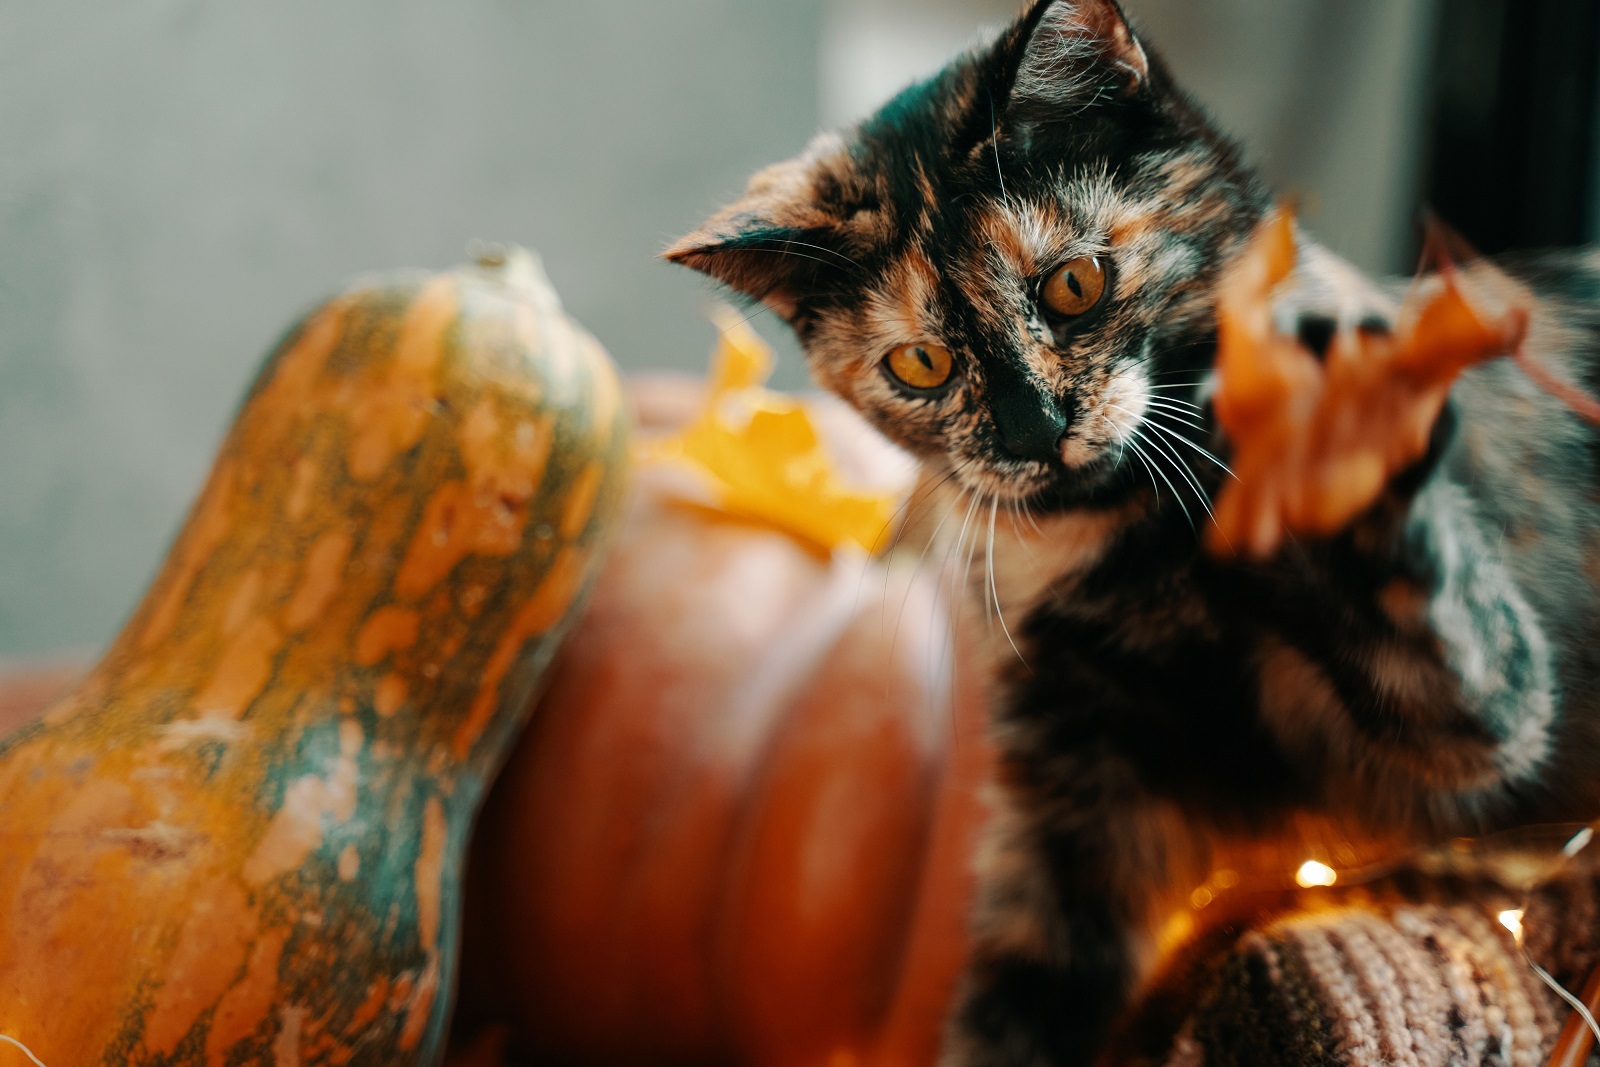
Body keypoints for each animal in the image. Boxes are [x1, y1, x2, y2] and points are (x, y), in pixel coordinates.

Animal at [665, 4, 1600, 1062]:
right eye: (920, 363)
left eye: (1075, 284)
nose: (1033, 430)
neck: (1124, 558)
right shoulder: (1073, 824)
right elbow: (1014, 1013)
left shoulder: (1476, 729)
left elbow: (1442, 638)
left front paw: (1336, 444)